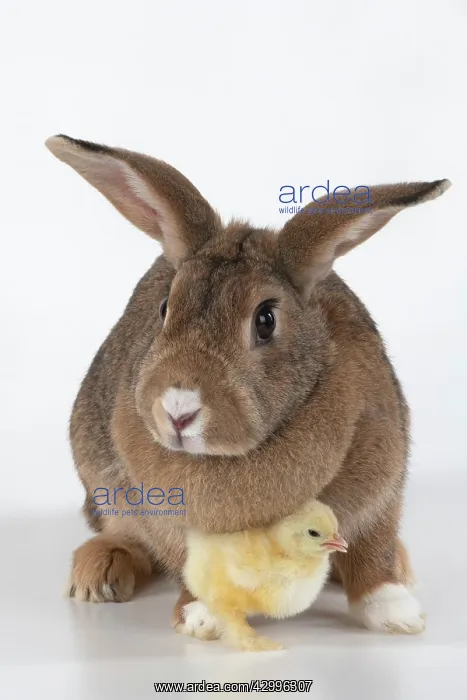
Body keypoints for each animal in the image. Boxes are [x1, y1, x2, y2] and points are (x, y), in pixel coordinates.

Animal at [45, 134, 450, 636]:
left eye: (266, 319)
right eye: (164, 308)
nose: (178, 409)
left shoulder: (383, 485)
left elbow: (372, 553)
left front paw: (396, 614)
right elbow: (190, 565)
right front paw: (204, 619)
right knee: (118, 531)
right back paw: (98, 573)